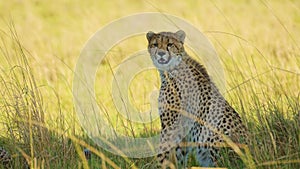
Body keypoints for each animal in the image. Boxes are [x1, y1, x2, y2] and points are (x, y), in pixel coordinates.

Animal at [146, 29, 247, 167]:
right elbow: (179, 157)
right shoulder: (183, 133)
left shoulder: (170, 126)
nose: (161, 53)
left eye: (170, 44)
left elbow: (163, 155)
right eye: (155, 44)